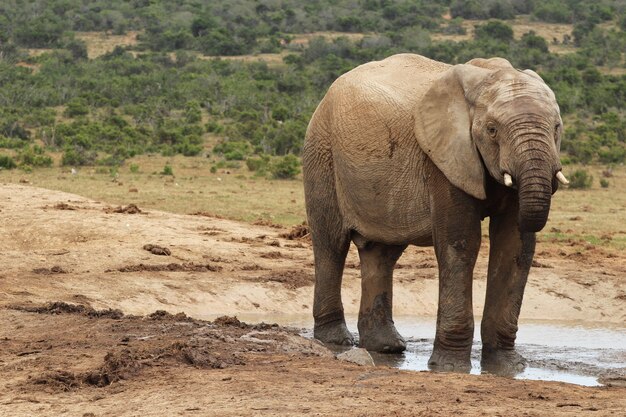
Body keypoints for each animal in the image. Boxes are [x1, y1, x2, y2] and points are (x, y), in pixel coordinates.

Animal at [302, 53, 564, 372]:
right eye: (492, 130)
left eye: (556, 128)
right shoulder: (442, 158)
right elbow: (461, 242)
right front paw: (450, 368)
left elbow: (515, 246)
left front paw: (507, 368)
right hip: (321, 151)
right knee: (331, 244)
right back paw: (337, 341)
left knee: (381, 253)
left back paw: (386, 347)